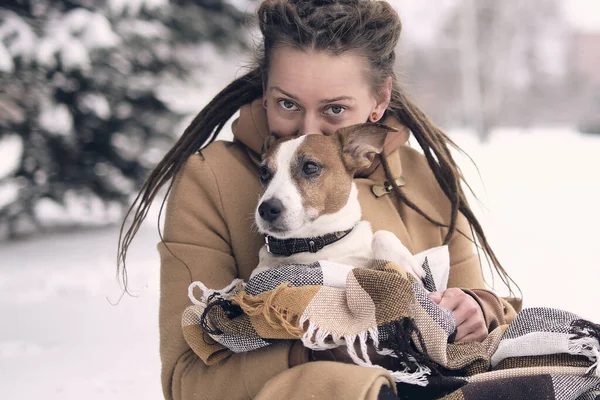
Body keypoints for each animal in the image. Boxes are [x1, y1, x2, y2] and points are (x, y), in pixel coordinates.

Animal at [251, 122, 424, 282]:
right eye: (263, 172)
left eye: (310, 167)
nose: (266, 209)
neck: (317, 241)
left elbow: (381, 234)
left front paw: (405, 263)